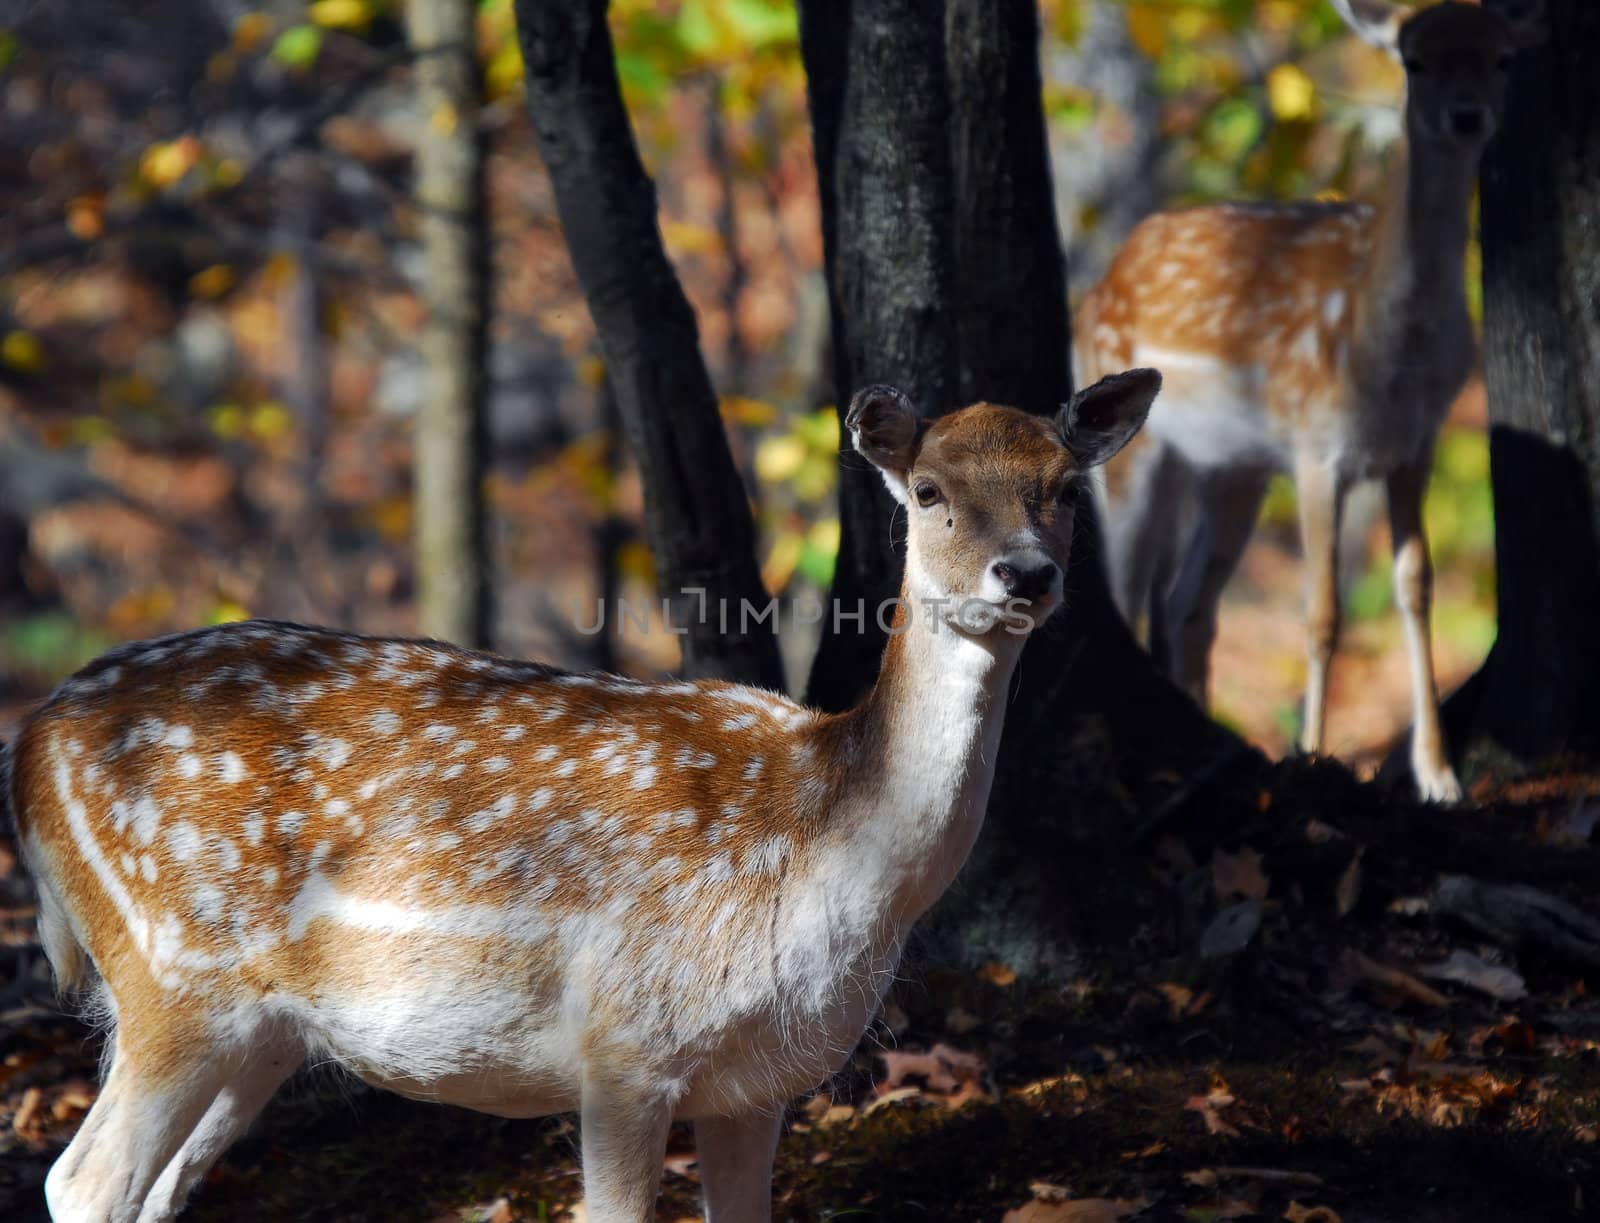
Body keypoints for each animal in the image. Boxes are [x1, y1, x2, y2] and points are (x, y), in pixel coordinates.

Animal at [3, 369, 1164, 1223]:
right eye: (927, 490)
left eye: (1067, 486)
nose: (1026, 574)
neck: (825, 841)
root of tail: (31, 745)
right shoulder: (622, 1043)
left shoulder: (760, 1082)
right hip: (173, 969)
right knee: (83, 1180)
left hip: (259, 1030)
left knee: (150, 1191)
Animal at [1075, 0, 1548, 803]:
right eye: (1414, 59)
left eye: (1502, 58)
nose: (1466, 115)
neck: (1385, 347)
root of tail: (1098, 282)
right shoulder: (1315, 445)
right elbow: (1321, 612)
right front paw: (1316, 756)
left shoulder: (1413, 445)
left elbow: (1415, 587)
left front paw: (1439, 777)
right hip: (1135, 447)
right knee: (1130, 585)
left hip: (1233, 470)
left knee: (1189, 603)